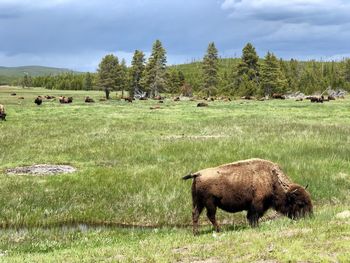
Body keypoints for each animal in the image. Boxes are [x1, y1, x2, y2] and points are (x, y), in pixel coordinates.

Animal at [182, 159, 314, 235]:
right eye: (300, 203)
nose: (310, 217)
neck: (272, 179)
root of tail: (198, 173)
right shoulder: (257, 204)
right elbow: (253, 216)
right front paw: (255, 226)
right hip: (210, 203)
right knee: (210, 215)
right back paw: (219, 230)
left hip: (198, 202)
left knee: (195, 214)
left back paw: (196, 233)